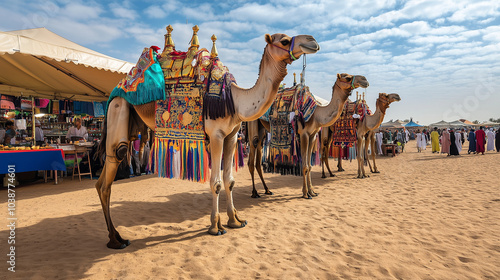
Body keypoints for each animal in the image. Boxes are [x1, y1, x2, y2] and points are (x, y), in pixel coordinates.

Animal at [94, 25, 320, 249]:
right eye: (284, 40)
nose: (312, 41)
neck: (235, 99)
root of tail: (120, 85)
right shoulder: (216, 135)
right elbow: (216, 183)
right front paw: (215, 226)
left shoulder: (232, 136)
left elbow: (229, 180)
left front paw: (235, 220)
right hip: (119, 108)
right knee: (112, 167)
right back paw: (116, 240)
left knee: (102, 179)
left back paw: (115, 235)